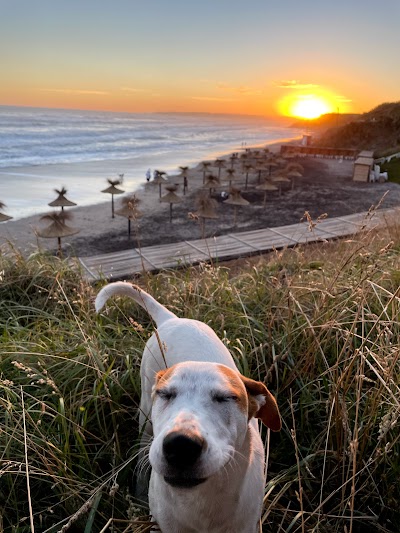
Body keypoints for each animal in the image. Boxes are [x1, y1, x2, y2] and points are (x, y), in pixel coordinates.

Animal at [95, 280, 282, 528]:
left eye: (226, 397)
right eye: (165, 394)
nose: (181, 444)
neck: (200, 502)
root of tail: (171, 318)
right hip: (146, 418)